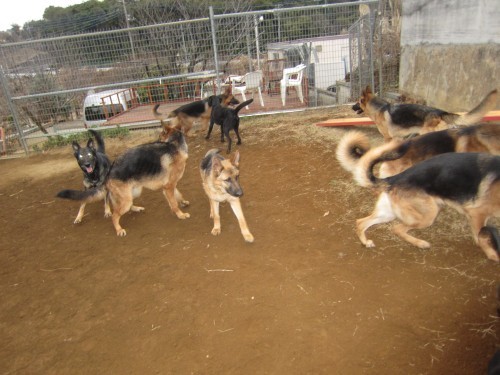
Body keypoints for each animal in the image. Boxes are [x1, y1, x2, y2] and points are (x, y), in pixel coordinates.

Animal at [352, 152, 500, 262]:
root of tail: (394, 178)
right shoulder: (477, 213)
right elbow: (482, 235)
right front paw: (492, 255)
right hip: (429, 215)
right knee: (397, 228)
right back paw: (421, 243)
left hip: (388, 214)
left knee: (361, 222)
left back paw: (366, 242)